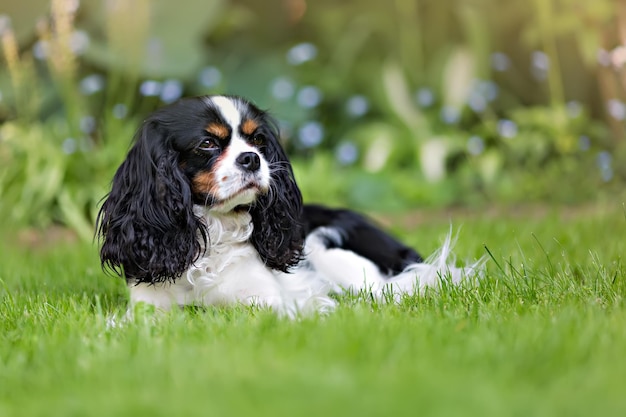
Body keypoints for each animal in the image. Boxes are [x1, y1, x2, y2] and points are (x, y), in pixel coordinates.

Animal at [96, 94, 478, 316]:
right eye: (207, 143)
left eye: (257, 140)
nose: (252, 158)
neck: (212, 231)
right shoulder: (149, 306)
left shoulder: (264, 301)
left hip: (327, 249)